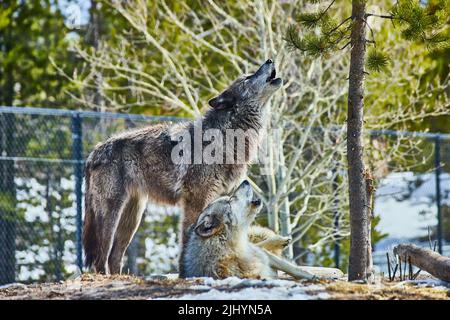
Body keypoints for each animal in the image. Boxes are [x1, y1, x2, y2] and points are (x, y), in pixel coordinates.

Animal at [82, 58, 284, 274]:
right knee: (101, 257)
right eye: (247, 78)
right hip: (111, 212)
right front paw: (186, 272)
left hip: (133, 217)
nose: (269, 60)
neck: (227, 137)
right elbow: (188, 237)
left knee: (115, 256)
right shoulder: (195, 200)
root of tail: (94, 151)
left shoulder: (222, 197)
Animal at [181, 181, 342, 282]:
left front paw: (320, 278)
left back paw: (280, 241)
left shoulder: (265, 257)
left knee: (262, 246)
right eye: (230, 200)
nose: (245, 181)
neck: (236, 249)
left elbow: (297, 271)